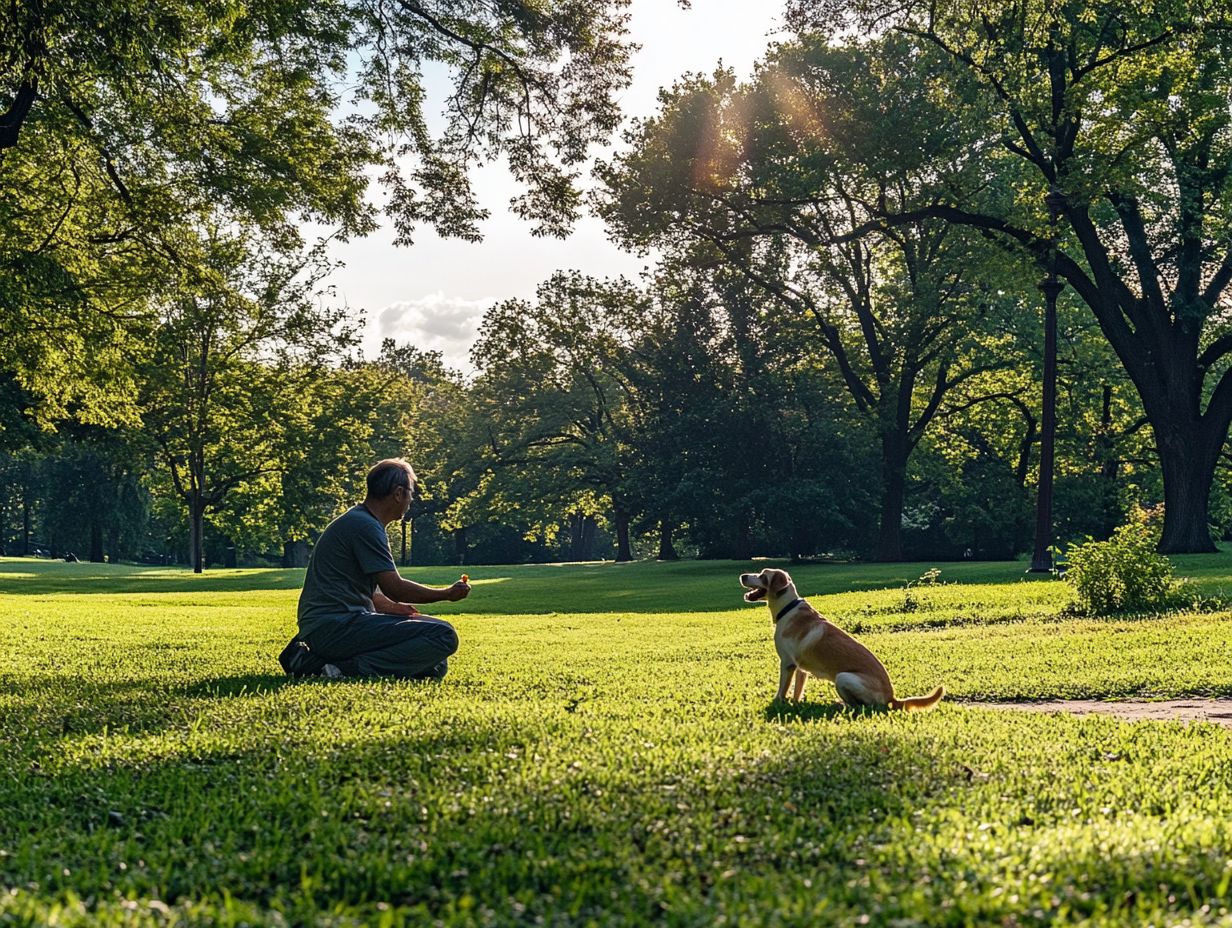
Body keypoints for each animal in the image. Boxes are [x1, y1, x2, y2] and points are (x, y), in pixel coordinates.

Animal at [734, 564, 946, 709]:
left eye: (763, 576)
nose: (743, 576)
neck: (787, 607)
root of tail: (891, 697)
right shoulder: (801, 668)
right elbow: (797, 690)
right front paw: (795, 703)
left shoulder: (787, 663)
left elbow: (782, 689)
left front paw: (777, 703)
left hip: (843, 677)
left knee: (862, 706)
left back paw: (841, 704)